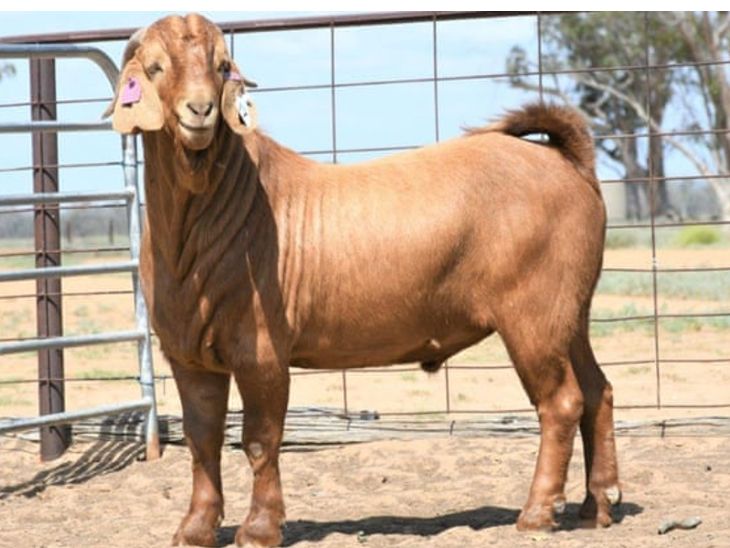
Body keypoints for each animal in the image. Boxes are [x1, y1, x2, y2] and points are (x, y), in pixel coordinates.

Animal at [106, 13, 621, 547]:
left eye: (222, 65)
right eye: (155, 67)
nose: (201, 109)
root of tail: (565, 161)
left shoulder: (261, 350)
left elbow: (260, 439)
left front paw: (260, 528)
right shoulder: (187, 354)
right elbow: (202, 439)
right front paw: (195, 528)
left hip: (533, 314)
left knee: (561, 402)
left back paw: (538, 512)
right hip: (570, 311)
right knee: (597, 391)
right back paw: (597, 506)